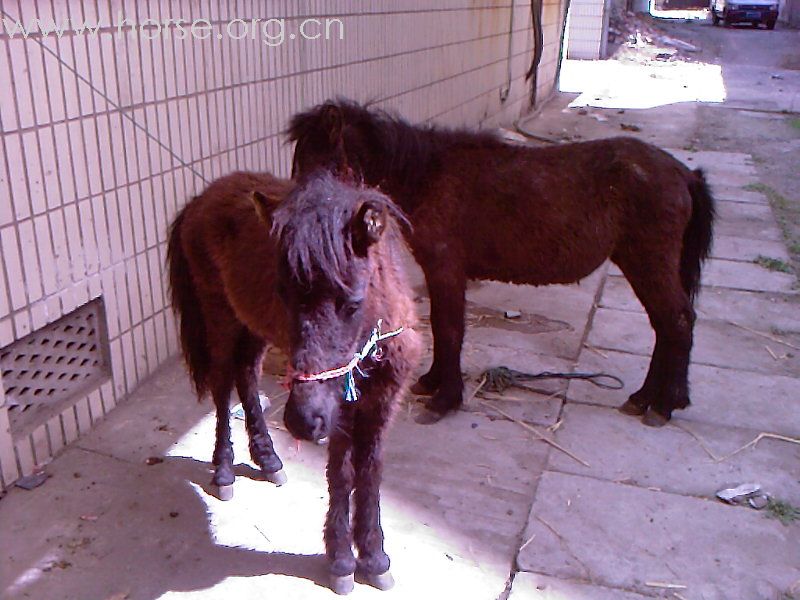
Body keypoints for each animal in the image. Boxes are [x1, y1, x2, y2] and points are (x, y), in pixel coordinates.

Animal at [274, 171, 422, 592]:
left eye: (353, 303)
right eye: (283, 295)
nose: (302, 420)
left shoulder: (381, 404)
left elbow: (369, 470)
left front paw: (373, 557)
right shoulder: (338, 411)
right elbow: (341, 472)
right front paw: (342, 559)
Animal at [290, 99, 716, 426]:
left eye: (318, 161)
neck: (427, 174)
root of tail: (683, 173)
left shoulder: (446, 269)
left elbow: (449, 329)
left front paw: (446, 398)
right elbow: (443, 327)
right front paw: (433, 382)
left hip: (648, 263)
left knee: (677, 322)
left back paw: (662, 404)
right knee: (666, 325)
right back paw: (646, 398)